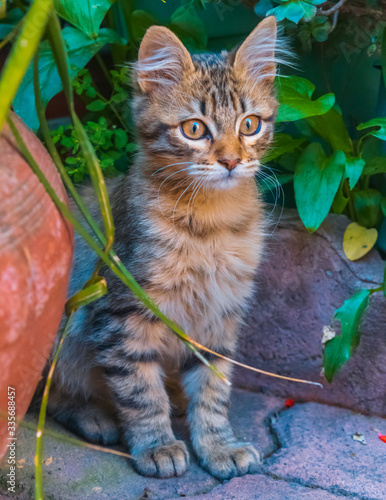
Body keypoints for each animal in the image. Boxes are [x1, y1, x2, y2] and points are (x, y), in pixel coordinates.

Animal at [49, 16, 282, 480]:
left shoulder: (220, 313)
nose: (231, 161)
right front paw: (157, 446)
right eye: (194, 129)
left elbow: (213, 389)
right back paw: (96, 417)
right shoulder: (121, 311)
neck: (211, 226)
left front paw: (217, 446)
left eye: (250, 124)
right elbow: (140, 390)